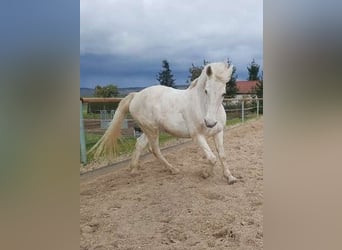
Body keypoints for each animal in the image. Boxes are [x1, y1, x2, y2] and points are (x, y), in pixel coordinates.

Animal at [89, 62, 238, 184]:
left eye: (223, 93)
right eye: (206, 91)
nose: (210, 122)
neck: (201, 105)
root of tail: (136, 95)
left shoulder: (218, 132)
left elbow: (222, 155)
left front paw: (230, 177)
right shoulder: (197, 136)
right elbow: (212, 158)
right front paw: (205, 174)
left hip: (149, 129)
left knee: (139, 144)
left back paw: (134, 170)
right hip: (152, 130)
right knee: (154, 150)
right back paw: (173, 169)